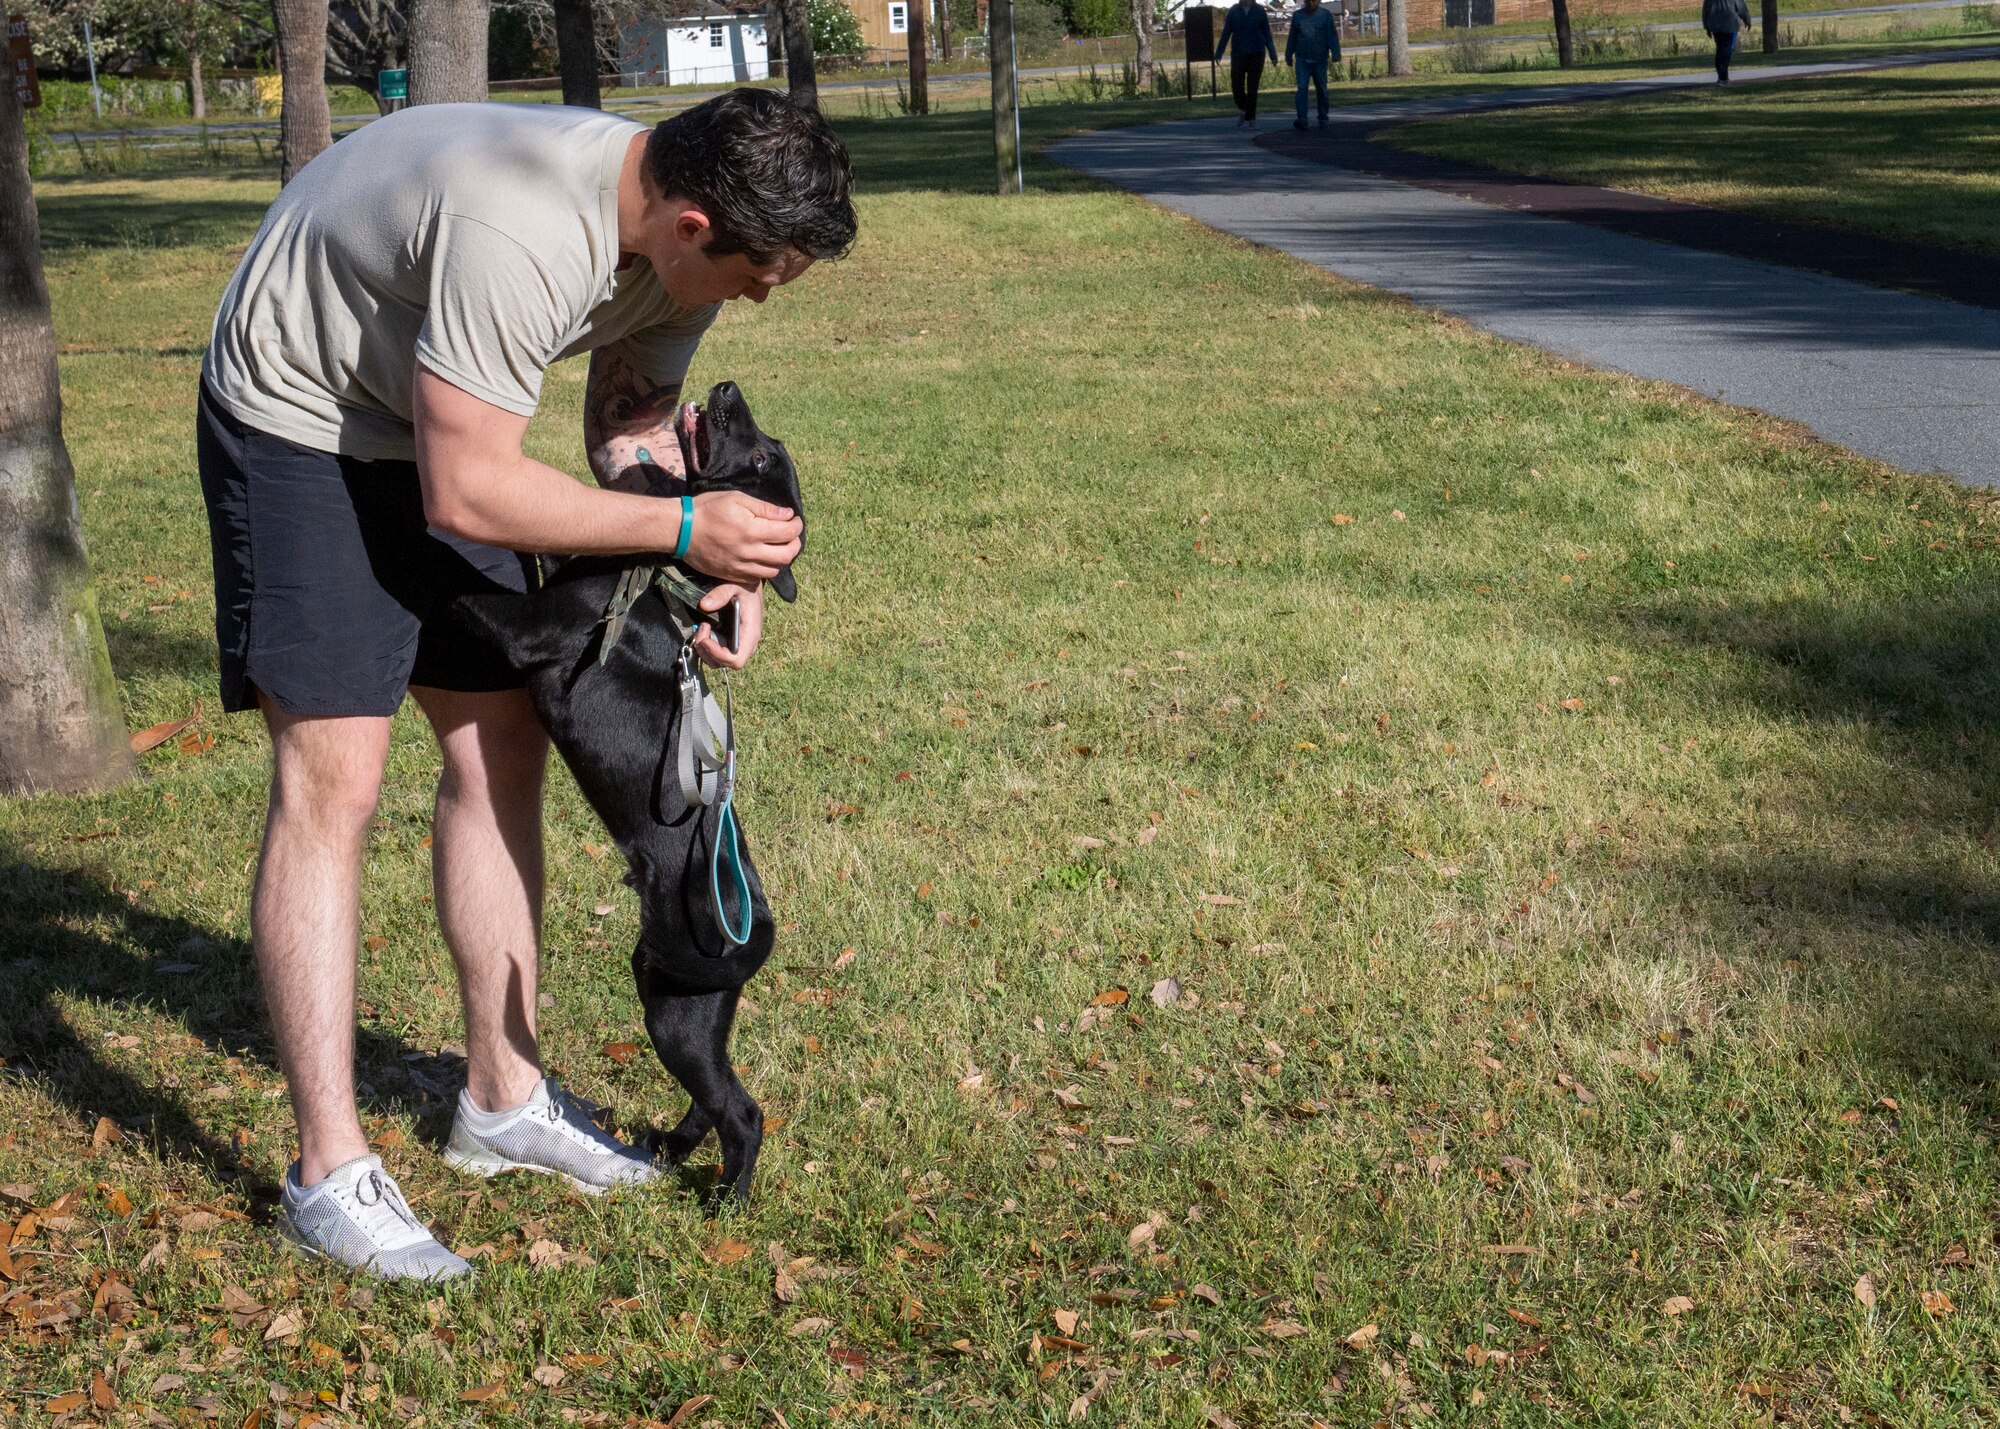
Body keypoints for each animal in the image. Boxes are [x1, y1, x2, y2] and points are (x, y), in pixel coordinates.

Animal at [460, 376, 804, 1192]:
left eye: (762, 456)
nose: (727, 386)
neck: (664, 571)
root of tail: (757, 931)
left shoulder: (526, 628)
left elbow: (466, 591)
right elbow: (537, 541)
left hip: (674, 1009)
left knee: (742, 1111)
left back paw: (729, 1199)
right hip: (684, 1005)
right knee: (715, 1098)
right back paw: (673, 1150)